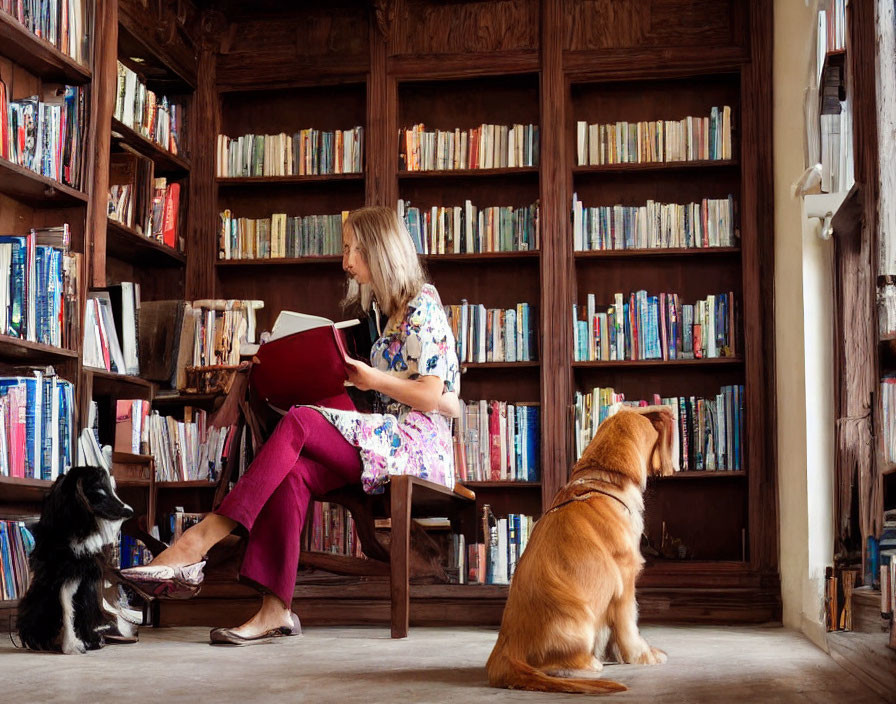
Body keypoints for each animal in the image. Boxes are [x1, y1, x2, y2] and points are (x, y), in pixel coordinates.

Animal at [18, 464, 135, 652]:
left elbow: (82, 609)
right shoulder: (65, 575)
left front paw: (88, 641)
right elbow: (67, 607)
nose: (130, 511)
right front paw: (71, 645)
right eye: (100, 491)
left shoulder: (87, 576)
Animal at [490, 408, 672, 692]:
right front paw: (642, 655)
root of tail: (505, 657)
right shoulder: (624, 579)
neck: (606, 484)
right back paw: (586, 665)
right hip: (577, 618)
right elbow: (629, 623)